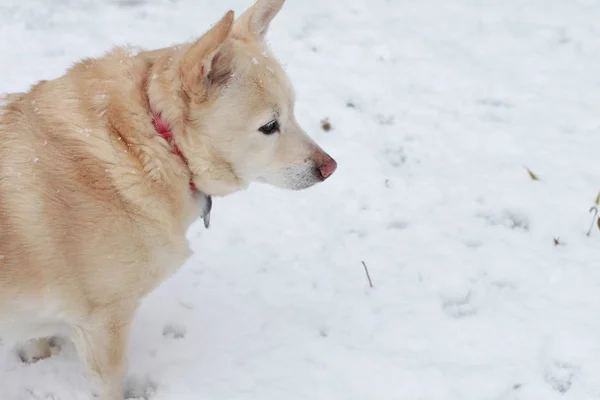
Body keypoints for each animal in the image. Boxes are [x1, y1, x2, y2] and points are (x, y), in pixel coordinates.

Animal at [0, 0, 338, 396]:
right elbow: (110, 382)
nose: (330, 167)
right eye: (270, 126)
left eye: (293, 111)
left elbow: (35, 340)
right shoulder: (103, 322)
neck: (153, 141)